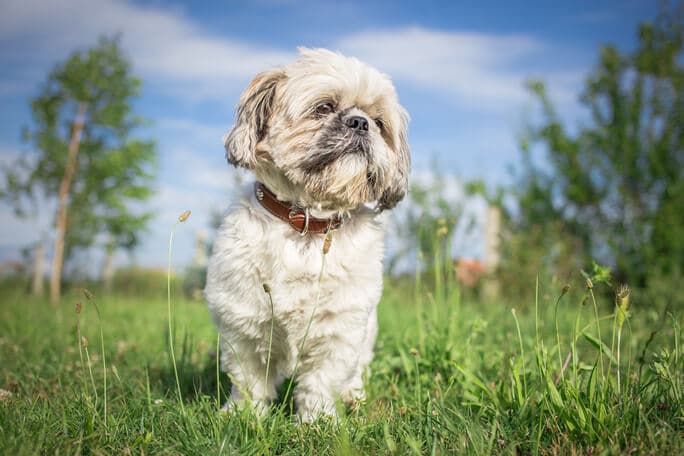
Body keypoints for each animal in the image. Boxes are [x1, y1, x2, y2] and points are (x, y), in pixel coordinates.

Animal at [203, 48, 406, 422]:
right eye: (323, 107)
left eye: (379, 122)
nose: (360, 123)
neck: (307, 224)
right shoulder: (244, 325)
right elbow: (249, 380)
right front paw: (243, 416)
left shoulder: (339, 329)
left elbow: (321, 383)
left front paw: (317, 423)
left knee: (357, 373)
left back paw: (354, 396)